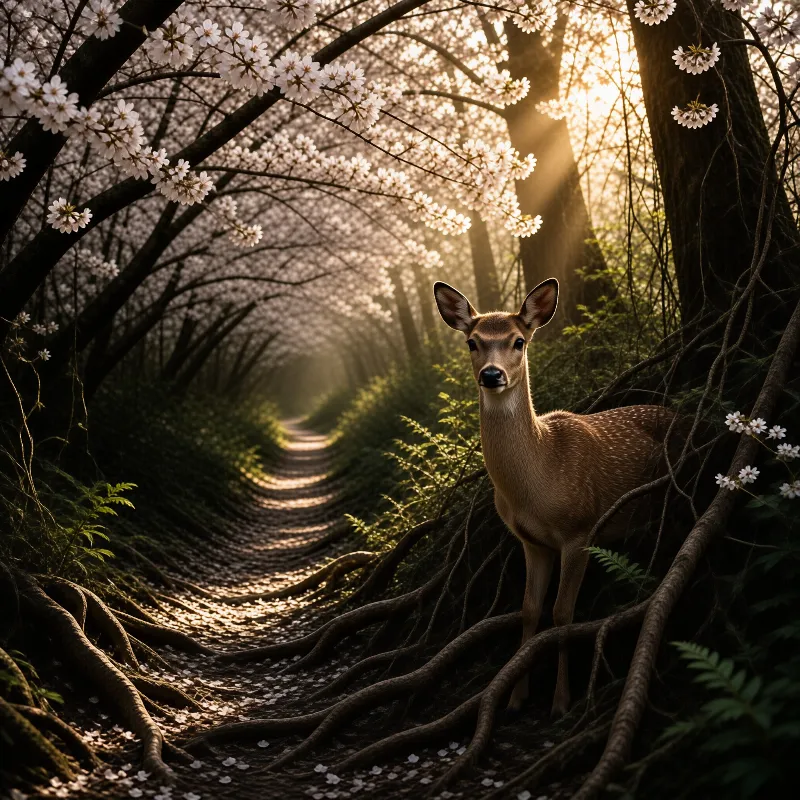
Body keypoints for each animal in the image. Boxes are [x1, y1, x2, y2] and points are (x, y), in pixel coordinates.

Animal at [433, 278, 671, 717]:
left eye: (518, 341)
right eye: (472, 342)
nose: (491, 375)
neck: (538, 482)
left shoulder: (580, 529)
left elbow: (562, 614)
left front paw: (561, 701)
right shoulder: (531, 542)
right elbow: (529, 611)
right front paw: (515, 697)